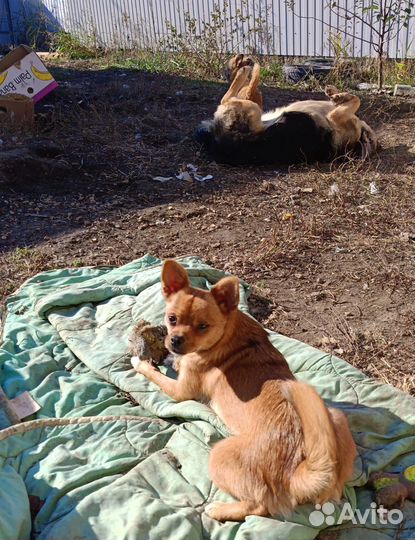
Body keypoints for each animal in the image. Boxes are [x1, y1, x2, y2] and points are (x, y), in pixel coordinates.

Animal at [133, 262, 358, 524]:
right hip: (334, 417)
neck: (227, 334)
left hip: (219, 456)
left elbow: (156, 374)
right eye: (172, 319)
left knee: (259, 506)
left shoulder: (180, 391)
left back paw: (220, 510)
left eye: (203, 327)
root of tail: (296, 473)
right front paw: (172, 358)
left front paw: (142, 362)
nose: (175, 340)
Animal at [197, 61, 378, 165]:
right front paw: (335, 92)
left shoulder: (335, 116)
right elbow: (353, 98)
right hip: (252, 108)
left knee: (227, 97)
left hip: (250, 108)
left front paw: (338, 95)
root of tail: (217, 140)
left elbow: (356, 99)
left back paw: (246, 69)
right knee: (237, 93)